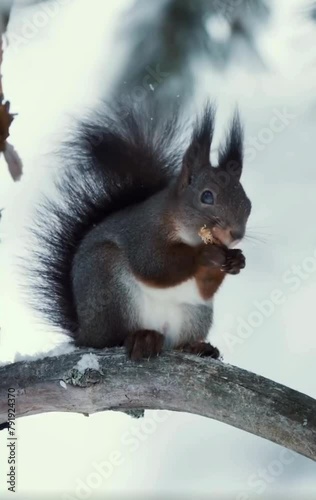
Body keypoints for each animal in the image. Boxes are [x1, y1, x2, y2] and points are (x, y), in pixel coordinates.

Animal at [29, 100, 252, 360]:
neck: (181, 227)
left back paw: (196, 347)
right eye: (207, 196)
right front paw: (205, 255)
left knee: (178, 341)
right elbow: (155, 266)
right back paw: (141, 338)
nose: (236, 234)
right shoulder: (143, 233)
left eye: (248, 203)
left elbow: (205, 288)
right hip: (109, 285)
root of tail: (84, 334)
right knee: (113, 338)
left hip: (195, 314)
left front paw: (236, 260)